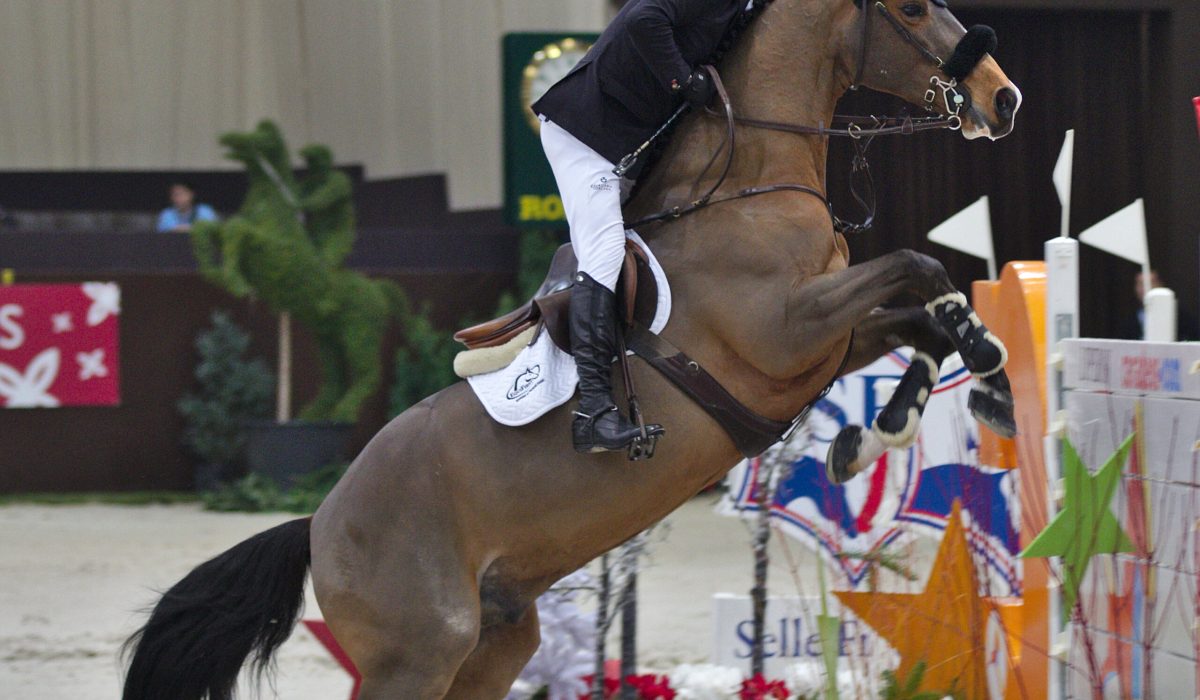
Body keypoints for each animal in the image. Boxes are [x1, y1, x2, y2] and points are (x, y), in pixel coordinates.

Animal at [122, 1, 1022, 697]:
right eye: (911, 9)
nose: (1002, 97)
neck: (751, 185)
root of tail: (320, 520)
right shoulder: (785, 329)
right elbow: (916, 266)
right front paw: (976, 373)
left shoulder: (822, 343)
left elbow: (918, 319)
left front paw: (903, 419)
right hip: (415, 656)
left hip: (493, 643)